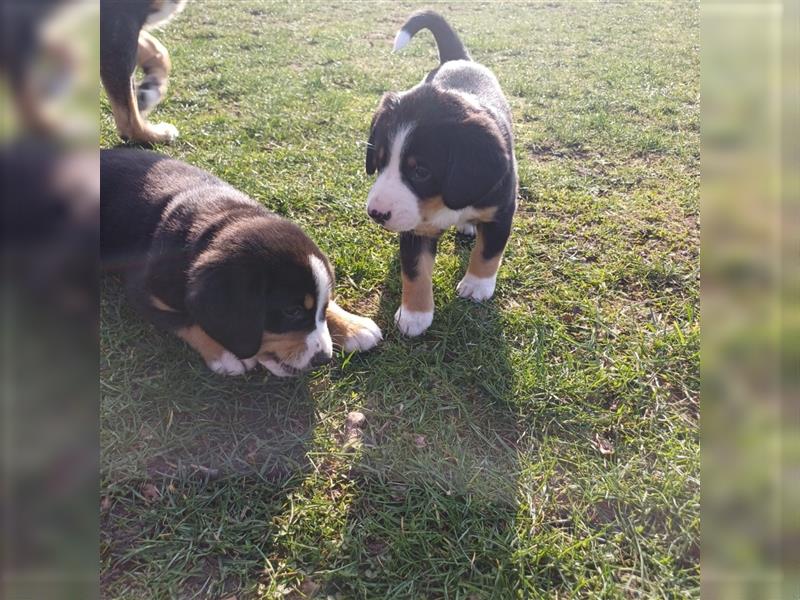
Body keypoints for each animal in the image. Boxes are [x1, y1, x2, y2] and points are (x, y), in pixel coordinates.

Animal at [99, 150, 382, 376]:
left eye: (320, 307)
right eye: (291, 311)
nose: (323, 359)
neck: (221, 220)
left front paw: (352, 326)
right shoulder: (144, 293)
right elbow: (187, 320)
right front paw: (226, 354)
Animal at [364, 10, 520, 338]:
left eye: (421, 171)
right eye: (380, 162)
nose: (376, 213)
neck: (443, 200)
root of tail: (457, 59)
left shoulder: (502, 210)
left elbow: (489, 252)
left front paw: (477, 285)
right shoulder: (415, 229)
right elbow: (415, 271)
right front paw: (414, 315)